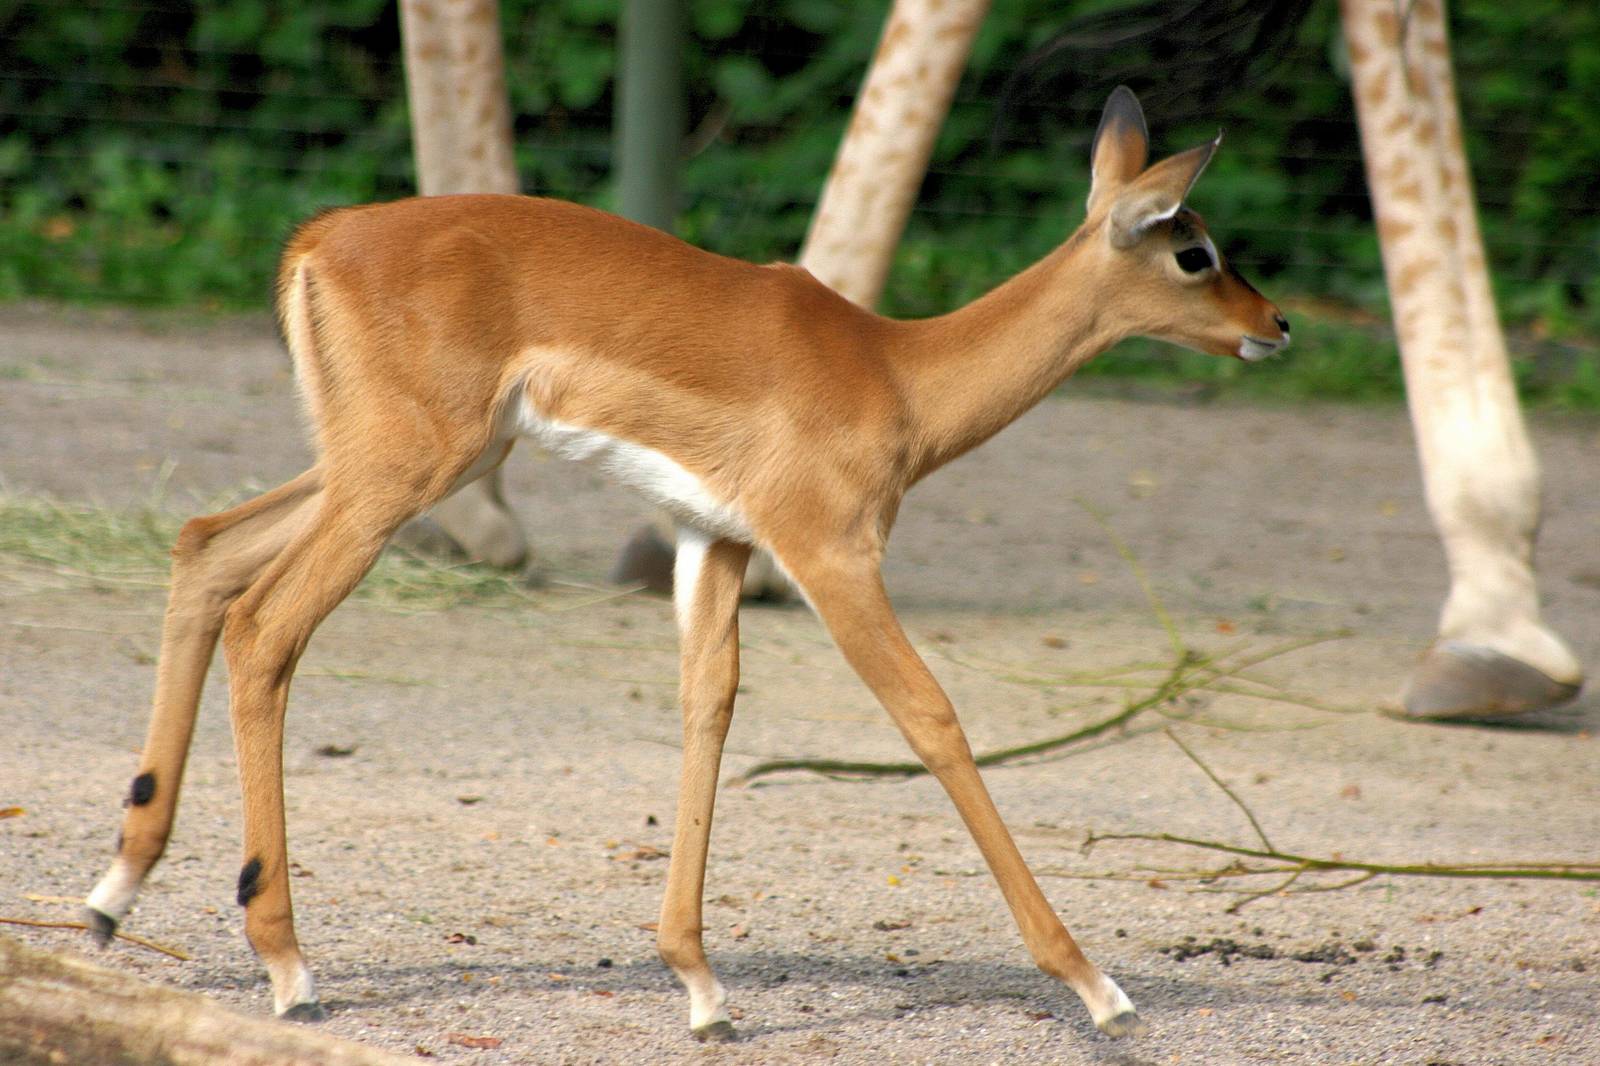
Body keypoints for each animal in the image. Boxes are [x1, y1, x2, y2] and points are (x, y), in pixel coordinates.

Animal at [85, 86, 1288, 1040]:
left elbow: (707, 704)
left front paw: (703, 987)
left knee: (204, 547)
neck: (896, 374)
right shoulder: (829, 554)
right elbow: (931, 717)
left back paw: (112, 896)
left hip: (382, 467)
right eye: (1194, 250)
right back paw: (286, 965)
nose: (1275, 324)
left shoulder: (715, 540)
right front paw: (1097, 987)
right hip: (396, 478)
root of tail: (320, 239)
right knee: (266, 626)